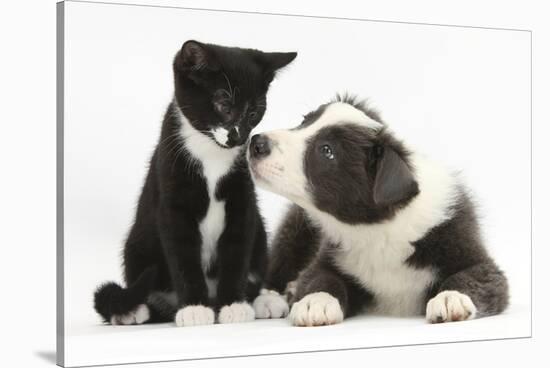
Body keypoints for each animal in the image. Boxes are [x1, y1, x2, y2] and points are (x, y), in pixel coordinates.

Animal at [94, 40, 298, 326]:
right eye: (223, 104)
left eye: (254, 112)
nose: (238, 137)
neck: (210, 153)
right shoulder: (172, 201)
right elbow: (183, 256)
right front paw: (194, 308)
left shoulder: (242, 202)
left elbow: (236, 253)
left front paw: (234, 304)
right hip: (137, 246)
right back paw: (134, 311)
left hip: (259, 234)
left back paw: (262, 301)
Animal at [249, 95, 508, 328]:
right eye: (304, 121)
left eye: (327, 150)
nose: (256, 143)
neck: (376, 229)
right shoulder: (327, 256)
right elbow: (319, 278)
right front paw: (316, 301)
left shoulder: (470, 251)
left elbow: (474, 276)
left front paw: (450, 297)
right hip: (294, 230)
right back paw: (272, 299)